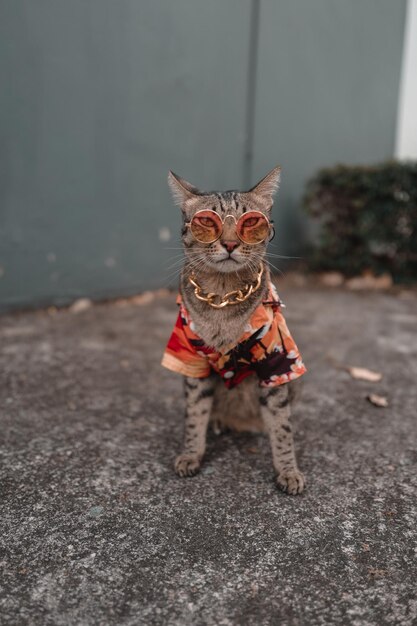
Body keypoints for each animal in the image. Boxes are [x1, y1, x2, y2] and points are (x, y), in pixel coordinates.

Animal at [162, 166, 306, 492]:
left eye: (250, 222)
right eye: (206, 222)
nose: (229, 244)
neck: (223, 295)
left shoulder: (277, 362)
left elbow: (281, 425)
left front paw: (288, 470)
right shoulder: (192, 361)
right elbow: (195, 414)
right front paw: (191, 454)